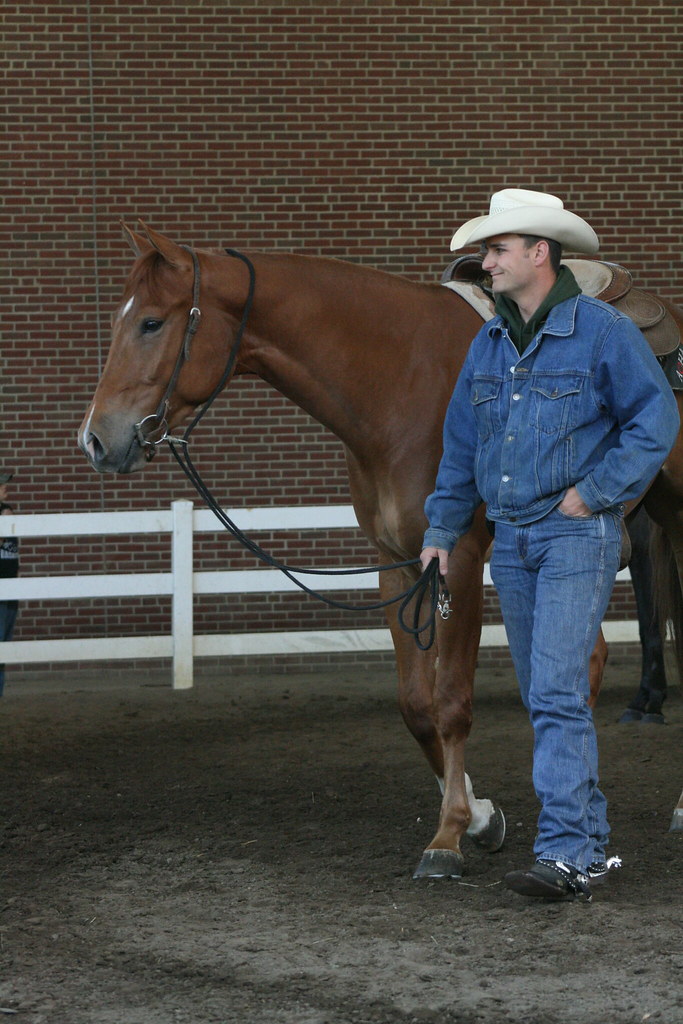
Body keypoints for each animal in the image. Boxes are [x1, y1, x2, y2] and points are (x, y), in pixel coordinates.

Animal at [78, 225, 683, 870]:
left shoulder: (458, 563)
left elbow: (451, 700)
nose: (95, 439)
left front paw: (448, 836)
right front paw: (479, 817)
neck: (398, 382)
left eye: (151, 323)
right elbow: (416, 705)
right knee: (585, 661)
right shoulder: (398, 564)